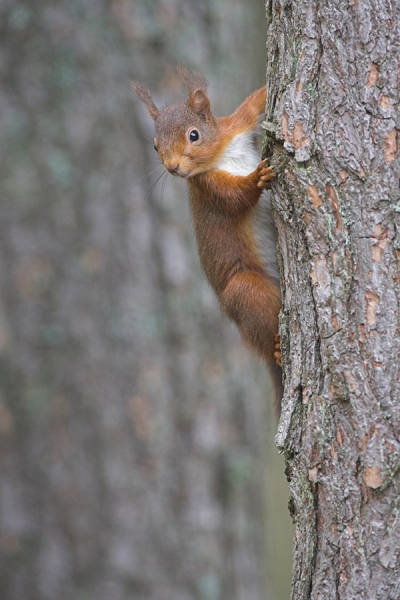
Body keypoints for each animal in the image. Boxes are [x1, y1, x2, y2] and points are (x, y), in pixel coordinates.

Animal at [131, 67, 282, 404]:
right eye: (155, 146)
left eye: (194, 135)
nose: (173, 168)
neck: (221, 153)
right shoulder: (209, 188)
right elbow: (236, 198)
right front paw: (256, 177)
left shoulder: (237, 125)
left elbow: (253, 104)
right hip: (245, 290)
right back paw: (278, 348)